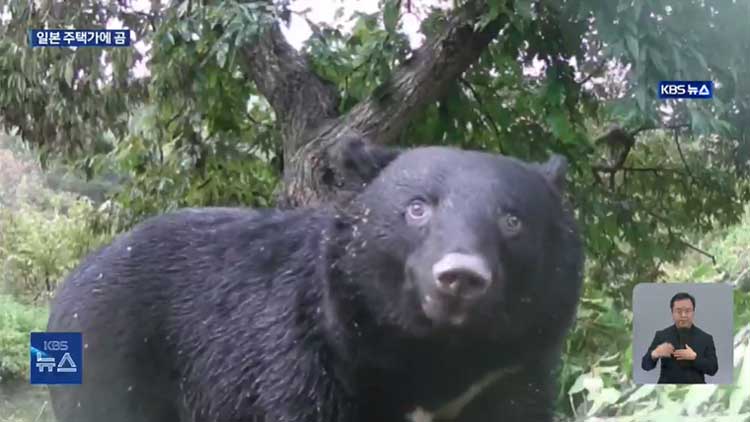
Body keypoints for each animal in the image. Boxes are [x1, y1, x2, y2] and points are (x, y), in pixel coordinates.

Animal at [47, 144, 588, 422]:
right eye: (418, 208)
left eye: (512, 221)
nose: (460, 277)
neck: (435, 353)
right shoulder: (308, 360)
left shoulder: (508, 374)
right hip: (113, 363)